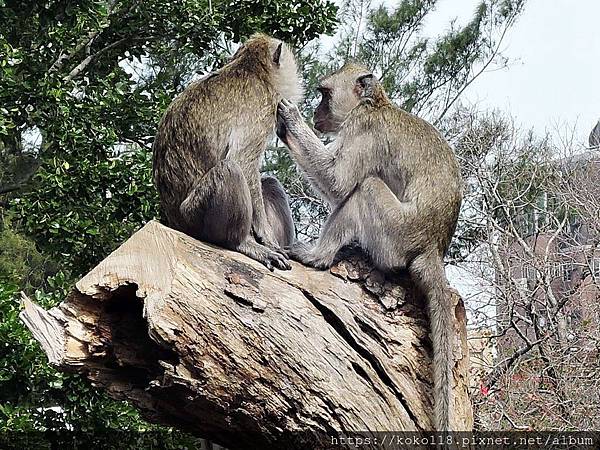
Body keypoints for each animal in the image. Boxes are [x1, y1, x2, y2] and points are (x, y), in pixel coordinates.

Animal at [150, 34, 302, 270]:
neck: (251, 69)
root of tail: (176, 223)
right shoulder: (262, 111)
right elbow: (243, 162)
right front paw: (266, 237)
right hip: (195, 216)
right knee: (230, 170)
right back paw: (241, 243)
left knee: (269, 183)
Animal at [276, 62, 464, 428]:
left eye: (324, 94)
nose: (316, 112)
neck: (375, 104)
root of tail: (432, 245)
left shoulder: (363, 128)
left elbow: (338, 182)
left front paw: (289, 119)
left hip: (395, 234)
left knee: (366, 188)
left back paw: (318, 256)